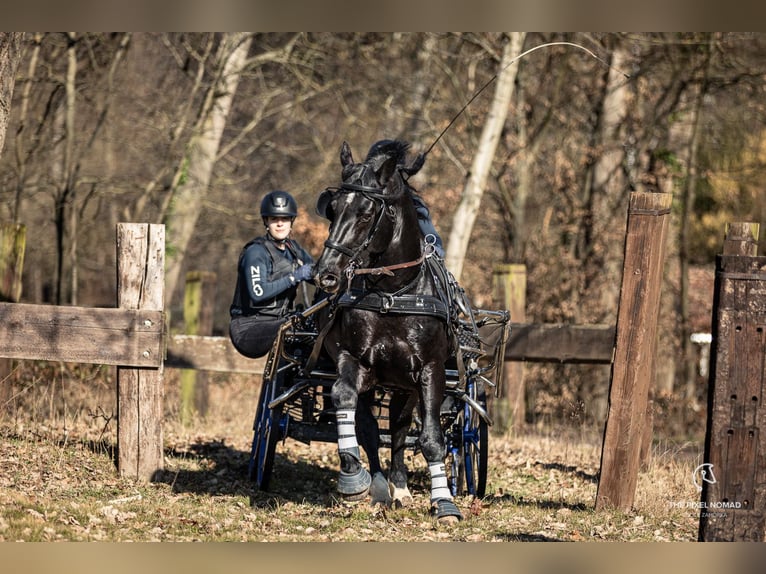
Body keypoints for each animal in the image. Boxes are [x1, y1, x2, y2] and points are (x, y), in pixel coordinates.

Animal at [313, 139, 462, 522]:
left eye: (366, 213)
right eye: (333, 209)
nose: (327, 275)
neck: (393, 293)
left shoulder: (430, 370)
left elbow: (430, 438)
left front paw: (443, 501)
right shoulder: (354, 360)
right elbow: (344, 399)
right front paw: (353, 478)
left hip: (405, 385)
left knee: (399, 426)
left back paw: (401, 487)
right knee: (370, 428)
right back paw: (381, 487)